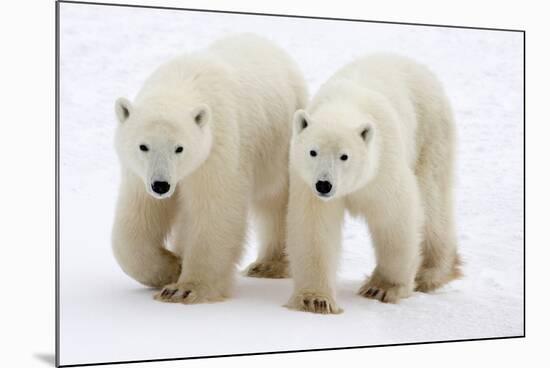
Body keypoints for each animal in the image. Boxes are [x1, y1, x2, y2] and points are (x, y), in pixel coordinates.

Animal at [112, 33, 308, 304]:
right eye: (143, 146)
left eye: (179, 148)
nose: (161, 185)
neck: (181, 81)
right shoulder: (139, 174)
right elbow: (137, 218)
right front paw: (172, 266)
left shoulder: (217, 147)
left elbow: (215, 211)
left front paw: (184, 288)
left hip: (280, 144)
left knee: (276, 199)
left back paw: (269, 265)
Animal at [286, 54, 464, 314]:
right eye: (313, 151)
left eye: (344, 156)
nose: (324, 185)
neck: (344, 105)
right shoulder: (306, 182)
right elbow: (314, 226)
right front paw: (315, 300)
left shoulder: (382, 166)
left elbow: (395, 217)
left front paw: (382, 288)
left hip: (430, 132)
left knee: (432, 200)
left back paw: (432, 273)